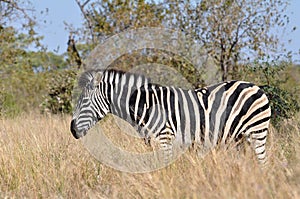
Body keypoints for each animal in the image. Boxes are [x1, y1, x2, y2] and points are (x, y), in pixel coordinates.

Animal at [71, 69, 272, 164]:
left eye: (85, 101)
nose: (72, 130)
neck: (145, 105)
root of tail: (256, 86)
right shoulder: (151, 141)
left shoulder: (165, 138)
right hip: (240, 139)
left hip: (257, 132)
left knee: (263, 163)